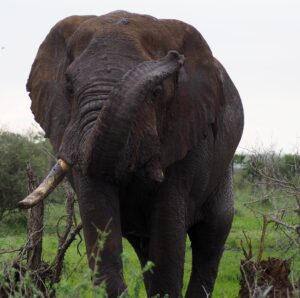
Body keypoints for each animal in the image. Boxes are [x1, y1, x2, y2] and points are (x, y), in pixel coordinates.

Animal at [19, 10, 244, 298]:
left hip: (222, 170)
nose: (174, 57)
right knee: (144, 246)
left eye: (156, 93)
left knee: (212, 234)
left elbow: (167, 236)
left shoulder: (187, 131)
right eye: (69, 87)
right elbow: (100, 220)